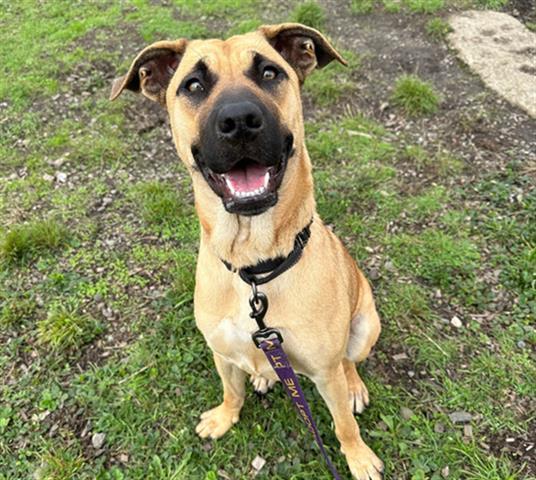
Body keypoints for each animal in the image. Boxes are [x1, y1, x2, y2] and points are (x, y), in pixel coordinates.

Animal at [111, 23, 384, 480]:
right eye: (193, 85)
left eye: (270, 73)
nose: (239, 120)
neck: (254, 266)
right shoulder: (221, 351)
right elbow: (230, 390)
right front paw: (225, 417)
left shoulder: (325, 372)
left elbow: (343, 423)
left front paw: (359, 457)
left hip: (364, 326)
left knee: (350, 362)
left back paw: (355, 387)